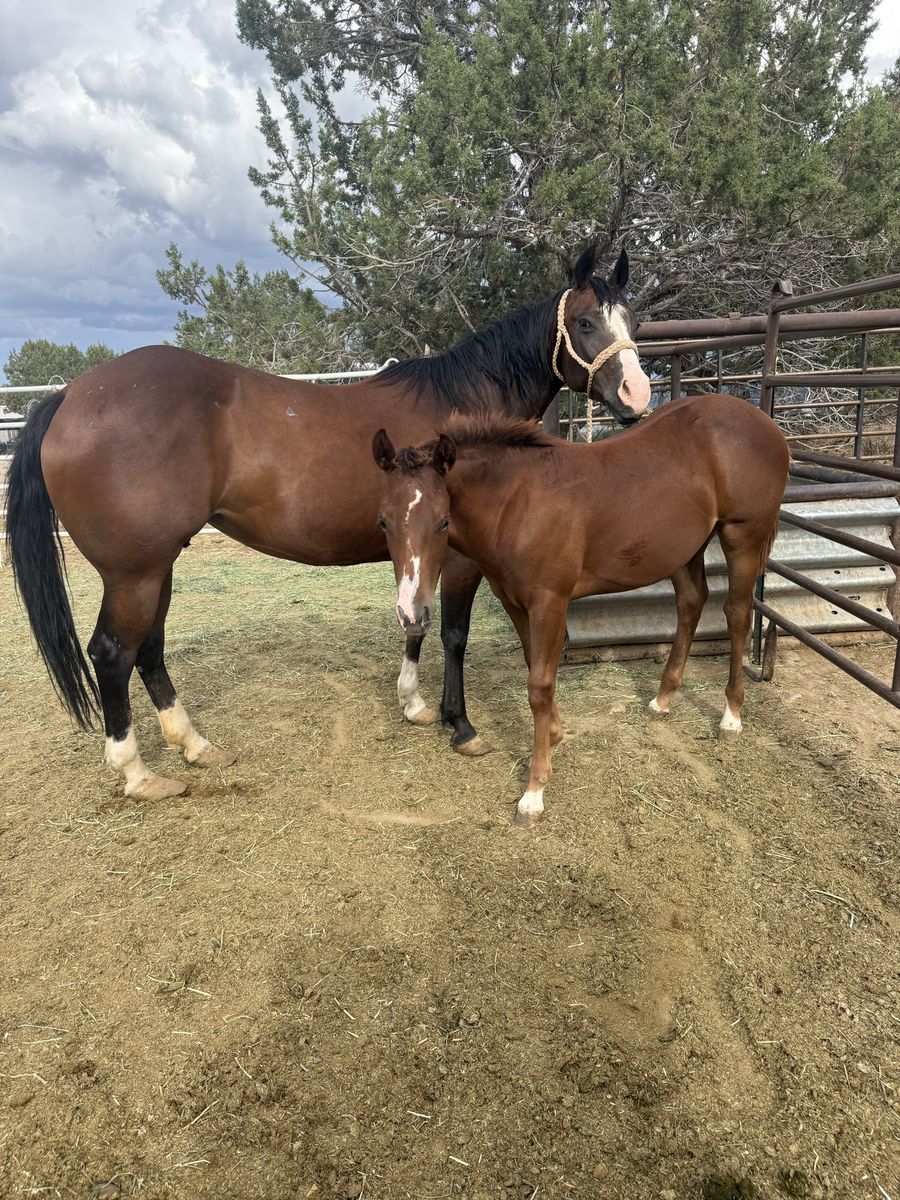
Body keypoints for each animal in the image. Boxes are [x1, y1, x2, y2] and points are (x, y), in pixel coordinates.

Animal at [6, 245, 651, 801]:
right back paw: (138, 773)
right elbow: (452, 633)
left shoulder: (420, 552)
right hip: (133, 572)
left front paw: (413, 704)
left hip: (156, 565)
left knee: (149, 649)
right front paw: (460, 724)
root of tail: (70, 395)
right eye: (587, 322)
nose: (638, 394)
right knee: (113, 653)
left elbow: (415, 626)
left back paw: (195, 746)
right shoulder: (459, 557)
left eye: (634, 323)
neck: (464, 408)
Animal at [372, 398, 790, 826]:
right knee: (691, 602)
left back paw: (731, 716)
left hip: (743, 537)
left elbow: (539, 685)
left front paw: (534, 791)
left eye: (443, 521)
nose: (412, 613)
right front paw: (555, 735)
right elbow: (535, 667)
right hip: (686, 547)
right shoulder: (514, 600)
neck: (517, 501)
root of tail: (764, 424)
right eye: (383, 521)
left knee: (737, 614)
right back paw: (662, 700)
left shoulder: (550, 601)